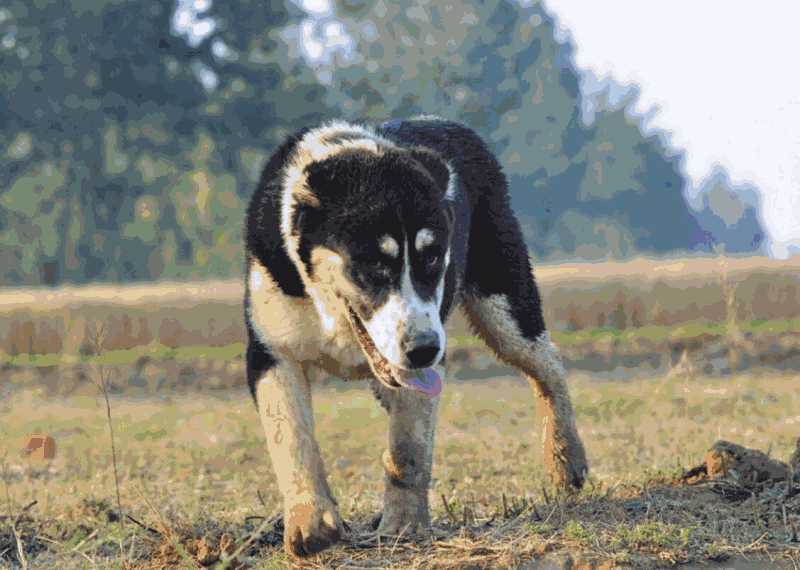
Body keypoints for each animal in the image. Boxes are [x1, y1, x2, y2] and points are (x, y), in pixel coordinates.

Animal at [244, 115, 588, 556]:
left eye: (435, 258)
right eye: (374, 264)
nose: (424, 349)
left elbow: (407, 449)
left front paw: (403, 527)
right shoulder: (271, 351)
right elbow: (290, 436)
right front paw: (312, 525)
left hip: (504, 297)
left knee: (547, 365)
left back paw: (566, 461)